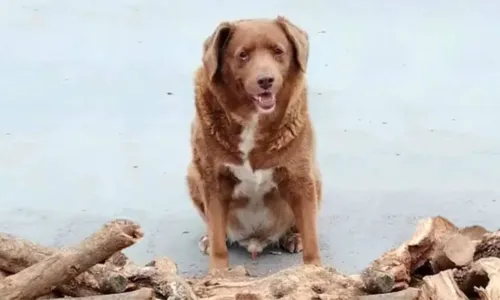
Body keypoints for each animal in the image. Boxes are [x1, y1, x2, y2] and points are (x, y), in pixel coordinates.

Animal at [186, 15, 322, 270]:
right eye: (243, 55)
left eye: (278, 51)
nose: (266, 80)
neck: (252, 120)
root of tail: (255, 239)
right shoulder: (213, 181)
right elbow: (218, 241)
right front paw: (218, 272)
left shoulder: (300, 177)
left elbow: (311, 237)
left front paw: (315, 270)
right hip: (192, 174)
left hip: (315, 177)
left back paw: (292, 237)